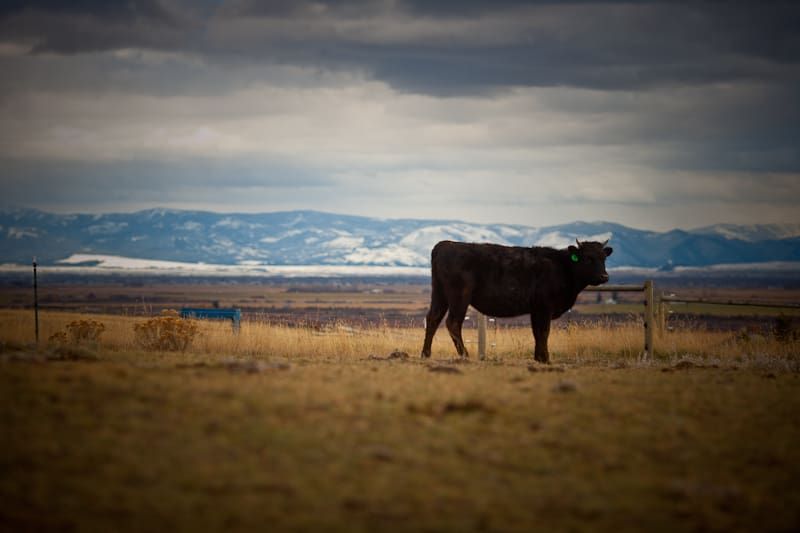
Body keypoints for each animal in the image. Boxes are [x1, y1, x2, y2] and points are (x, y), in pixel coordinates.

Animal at [421, 239, 613, 363]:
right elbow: (544, 332)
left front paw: (539, 357)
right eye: (588, 258)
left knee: (433, 319)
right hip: (459, 297)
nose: (604, 276)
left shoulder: (536, 310)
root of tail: (445, 244)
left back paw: (425, 354)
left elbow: (537, 333)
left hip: (439, 295)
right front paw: (545, 359)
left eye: (603, 258)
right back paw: (465, 355)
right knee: (452, 323)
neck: (562, 267)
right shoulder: (544, 307)